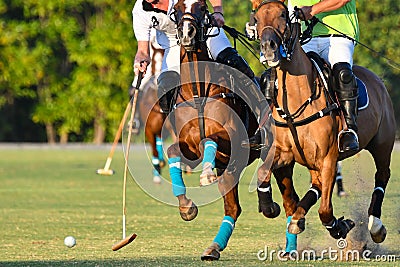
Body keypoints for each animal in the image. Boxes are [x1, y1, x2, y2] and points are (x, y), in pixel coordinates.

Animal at [167, 0, 264, 262]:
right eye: (177, 8)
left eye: (202, 7)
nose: (187, 33)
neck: (198, 90)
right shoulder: (188, 149)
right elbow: (173, 152)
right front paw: (186, 207)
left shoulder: (233, 140)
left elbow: (209, 140)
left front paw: (206, 175)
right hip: (230, 169)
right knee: (233, 208)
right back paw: (213, 248)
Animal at [252, 0, 396, 253]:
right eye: (257, 18)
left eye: (283, 14)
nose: (268, 49)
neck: (297, 100)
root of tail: (378, 80)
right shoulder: (285, 153)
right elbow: (263, 172)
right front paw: (270, 206)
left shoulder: (328, 158)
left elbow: (325, 210)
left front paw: (340, 225)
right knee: (317, 184)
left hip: (383, 144)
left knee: (382, 176)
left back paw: (376, 227)